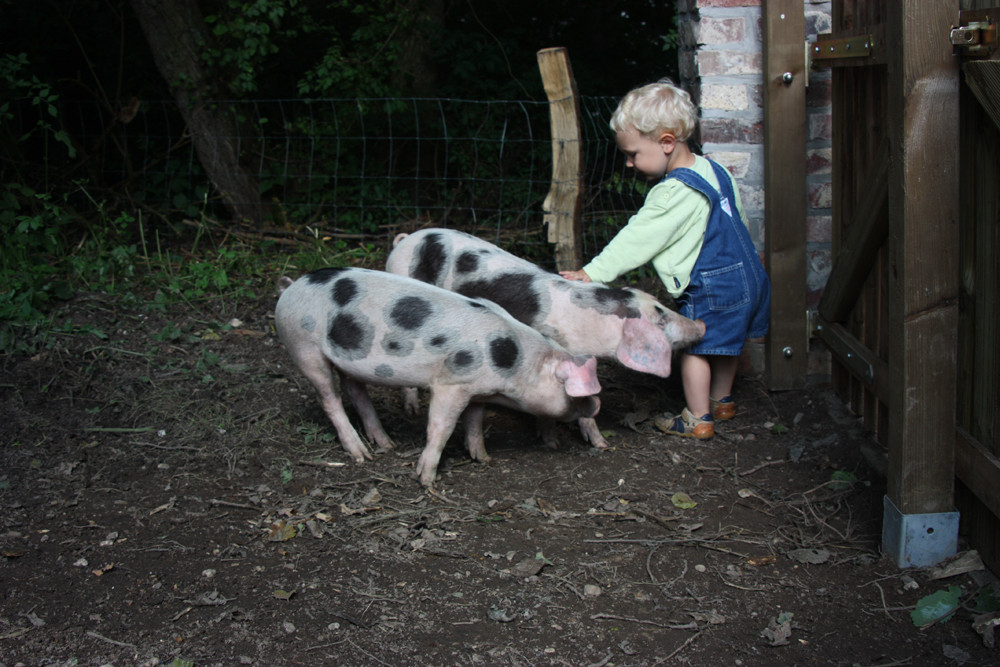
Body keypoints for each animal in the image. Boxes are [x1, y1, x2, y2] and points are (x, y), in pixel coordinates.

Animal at [274, 268, 600, 488]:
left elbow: (475, 421)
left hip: (346, 359)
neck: (515, 361)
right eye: (571, 389)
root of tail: (291, 288)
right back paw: (361, 455)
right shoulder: (452, 383)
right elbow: (441, 427)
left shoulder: (477, 390)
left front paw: (483, 458)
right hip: (304, 346)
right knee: (329, 399)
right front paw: (427, 480)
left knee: (355, 391)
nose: (595, 406)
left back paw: (385, 445)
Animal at [386, 228, 708, 448]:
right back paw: (412, 409)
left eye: (662, 306)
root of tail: (405, 239)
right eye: (661, 318)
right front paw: (595, 444)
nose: (701, 324)